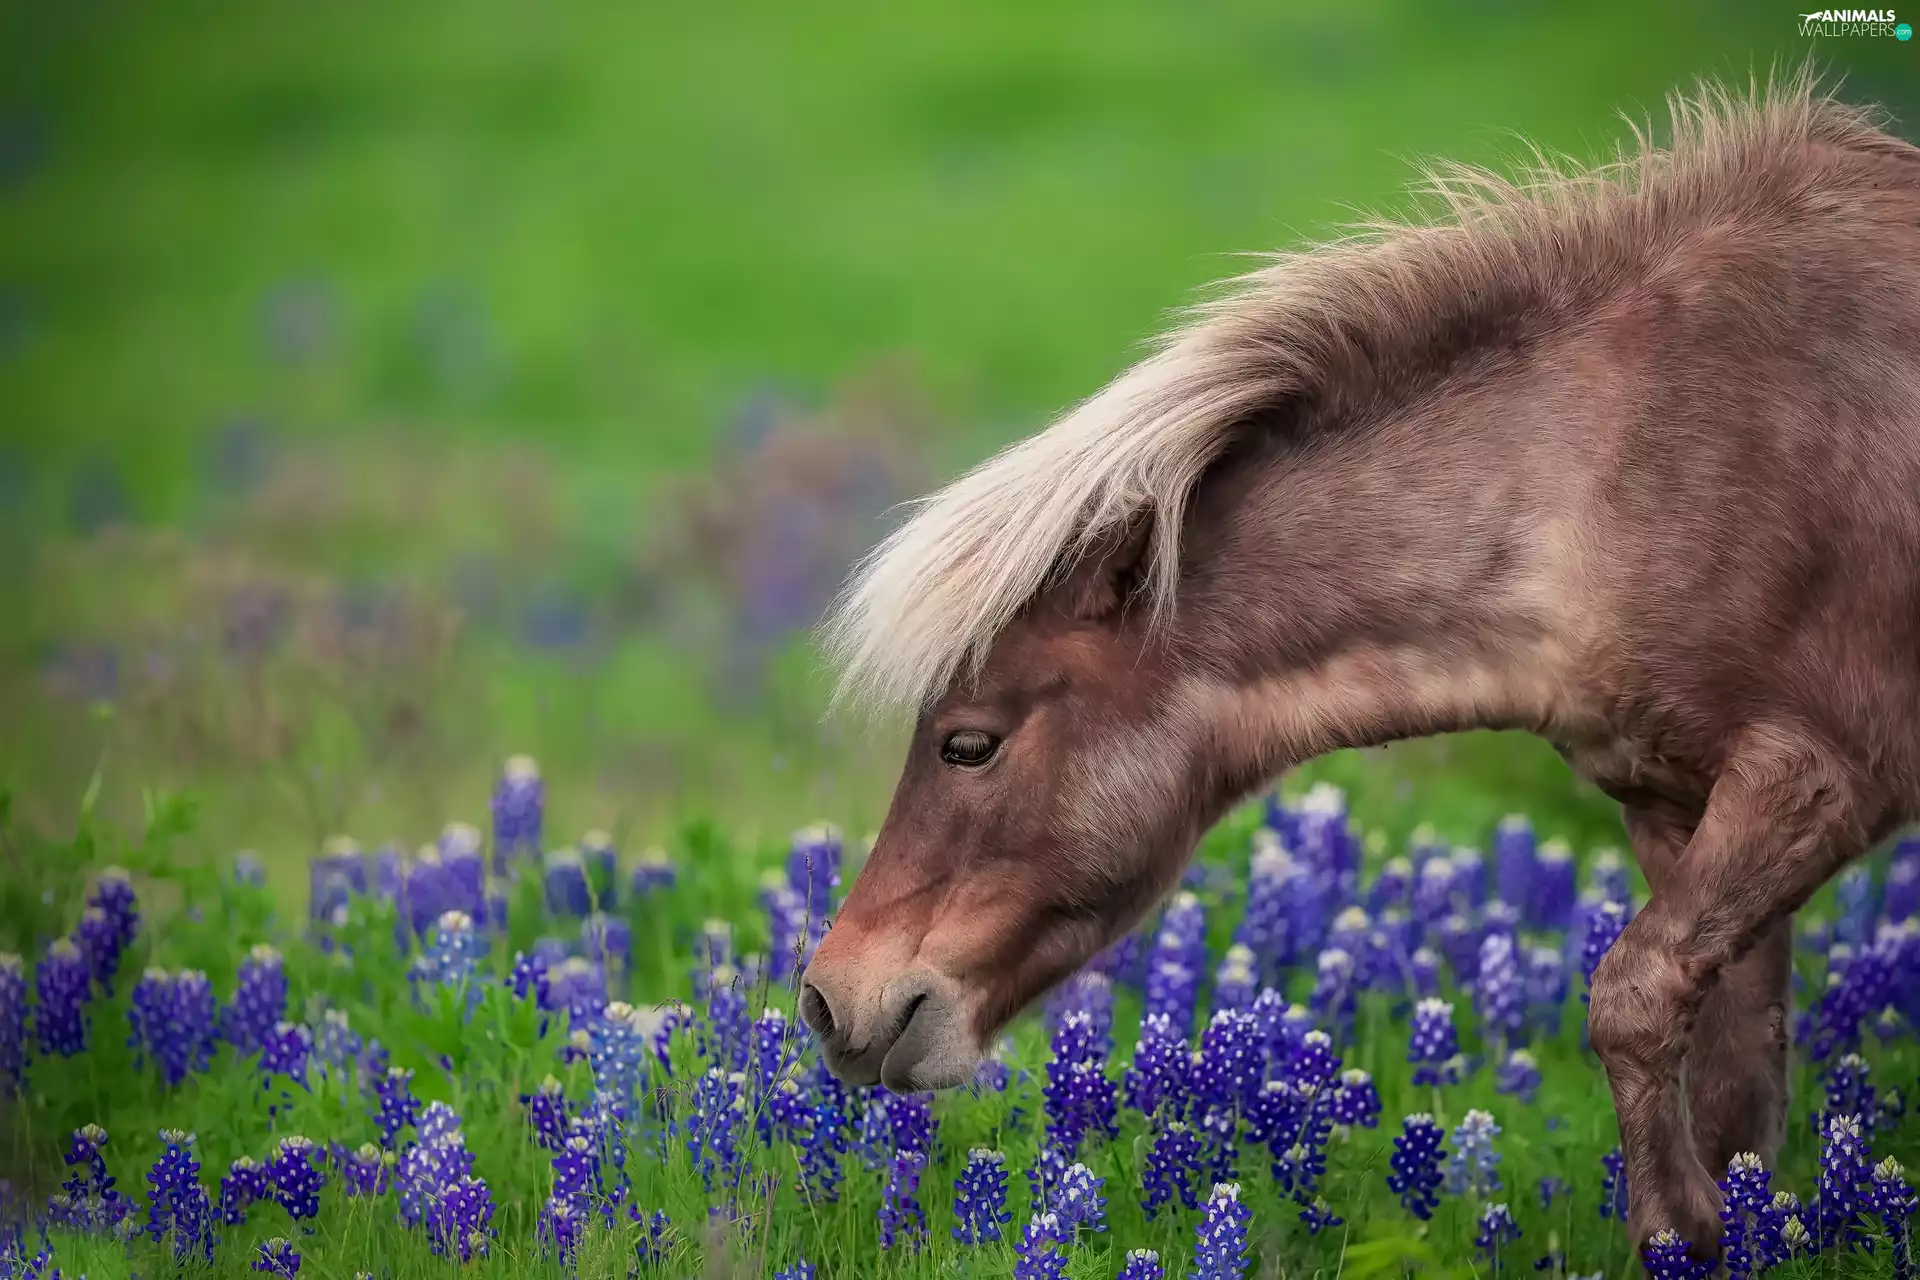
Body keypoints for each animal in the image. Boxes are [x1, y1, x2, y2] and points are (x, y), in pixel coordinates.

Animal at [799, 72, 1920, 1255]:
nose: (828, 997)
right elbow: (1736, 1086)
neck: (1620, 473)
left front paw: (1682, 1224)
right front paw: (1734, 1223)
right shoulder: (1674, 801)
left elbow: (1634, 994)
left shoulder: (1821, 772)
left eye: (969, 743)